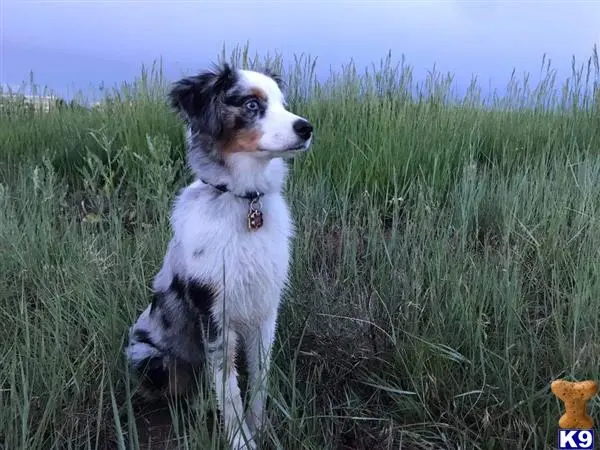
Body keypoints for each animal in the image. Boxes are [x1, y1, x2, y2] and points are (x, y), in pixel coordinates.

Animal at [125, 64, 316, 450]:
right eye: (251, 105)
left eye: (282, 103)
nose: (306, 128)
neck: (245, 202)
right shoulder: (214, 314)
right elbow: (228, 391)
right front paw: (241, 440)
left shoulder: (266, 308)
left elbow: (260, 377)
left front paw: (261, 428)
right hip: (148, 358)